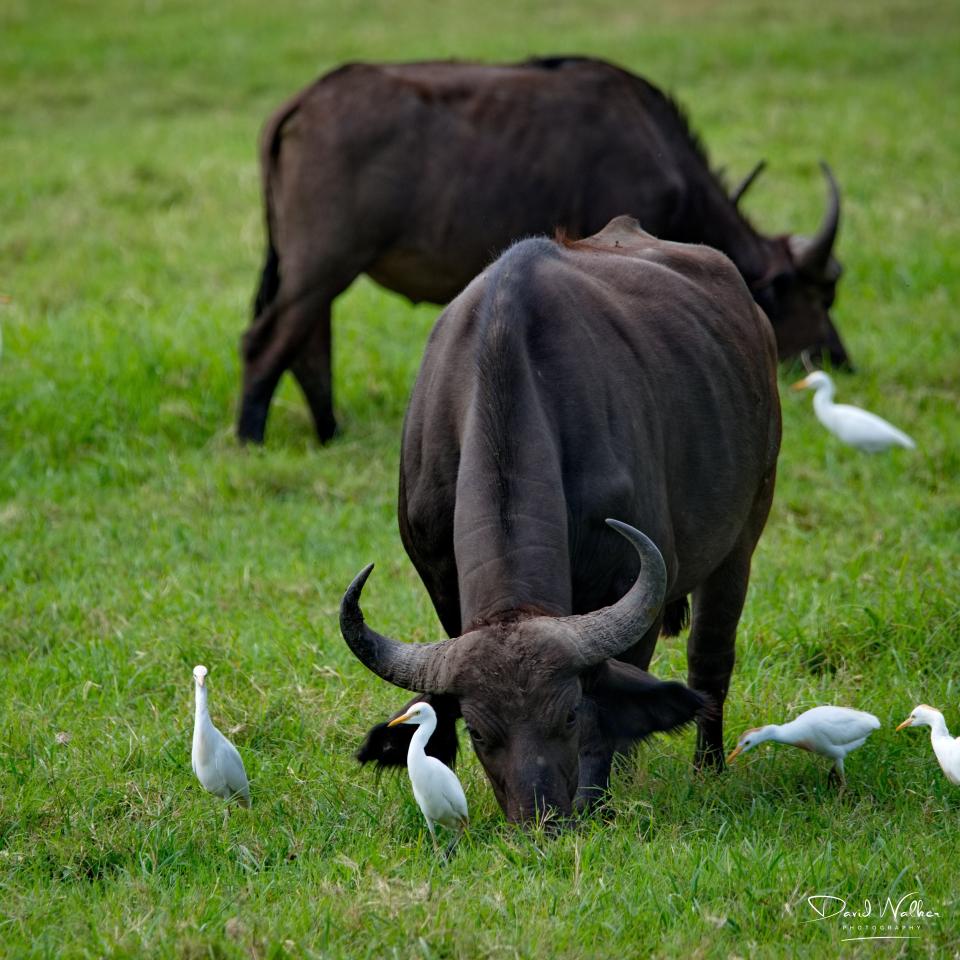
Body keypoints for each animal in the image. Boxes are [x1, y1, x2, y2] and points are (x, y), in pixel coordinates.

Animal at [240, 56, 845, 444]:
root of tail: (305, 102)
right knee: (267, 341)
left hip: (309, 270)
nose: (841, 358)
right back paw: (251, 435)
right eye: (820, 297)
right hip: (324, 265)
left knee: (309, 341)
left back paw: (329, 430)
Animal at [339, 217, 782, 822]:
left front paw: (596, 799)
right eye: (479, 732)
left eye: (567, 716)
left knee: (710, 657)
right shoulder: (441, 585)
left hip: (742, 537)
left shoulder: (625, 586)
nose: (541, 817)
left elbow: (610, 705)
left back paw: (706, 766)